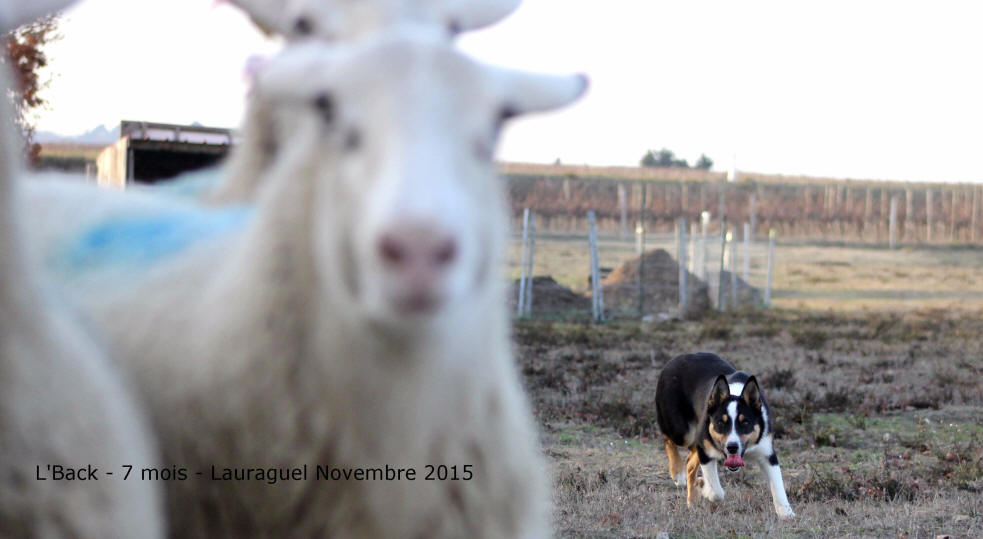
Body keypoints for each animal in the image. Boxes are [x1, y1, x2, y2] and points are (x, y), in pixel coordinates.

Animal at [656, 354, 796, 520]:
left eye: (745, 423)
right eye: (720, 423)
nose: (732, 447)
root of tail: (676, 359)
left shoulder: (767, 453)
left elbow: (778, 485)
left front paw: (786, 513)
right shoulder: (706, 451)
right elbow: (716, 492)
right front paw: (706, 490)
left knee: (690, 461)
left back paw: (692, 500)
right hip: (682, 432)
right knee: (668, 439)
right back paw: (677, 473)